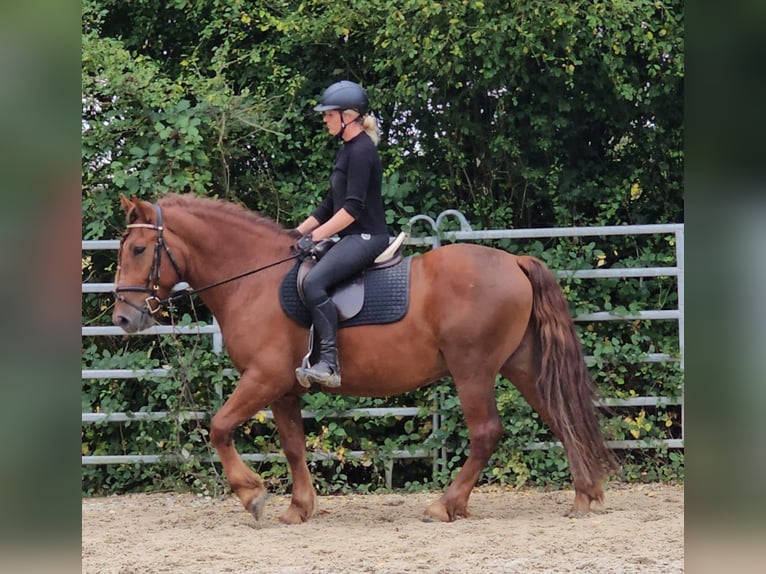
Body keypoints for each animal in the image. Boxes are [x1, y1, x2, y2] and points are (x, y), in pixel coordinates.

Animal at [112, 195, 616, 528]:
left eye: (138, 250)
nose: (123, 317)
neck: (252, 280)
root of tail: (513, 262)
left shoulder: (263, 378)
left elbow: (218, 427)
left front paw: (252, 495)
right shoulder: (284, 388)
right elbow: (293, 446)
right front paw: (299, 508)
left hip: (472, 370)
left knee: (487, 432)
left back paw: (446, 504)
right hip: (521, 364)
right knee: (560, 415)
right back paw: (586, 495)